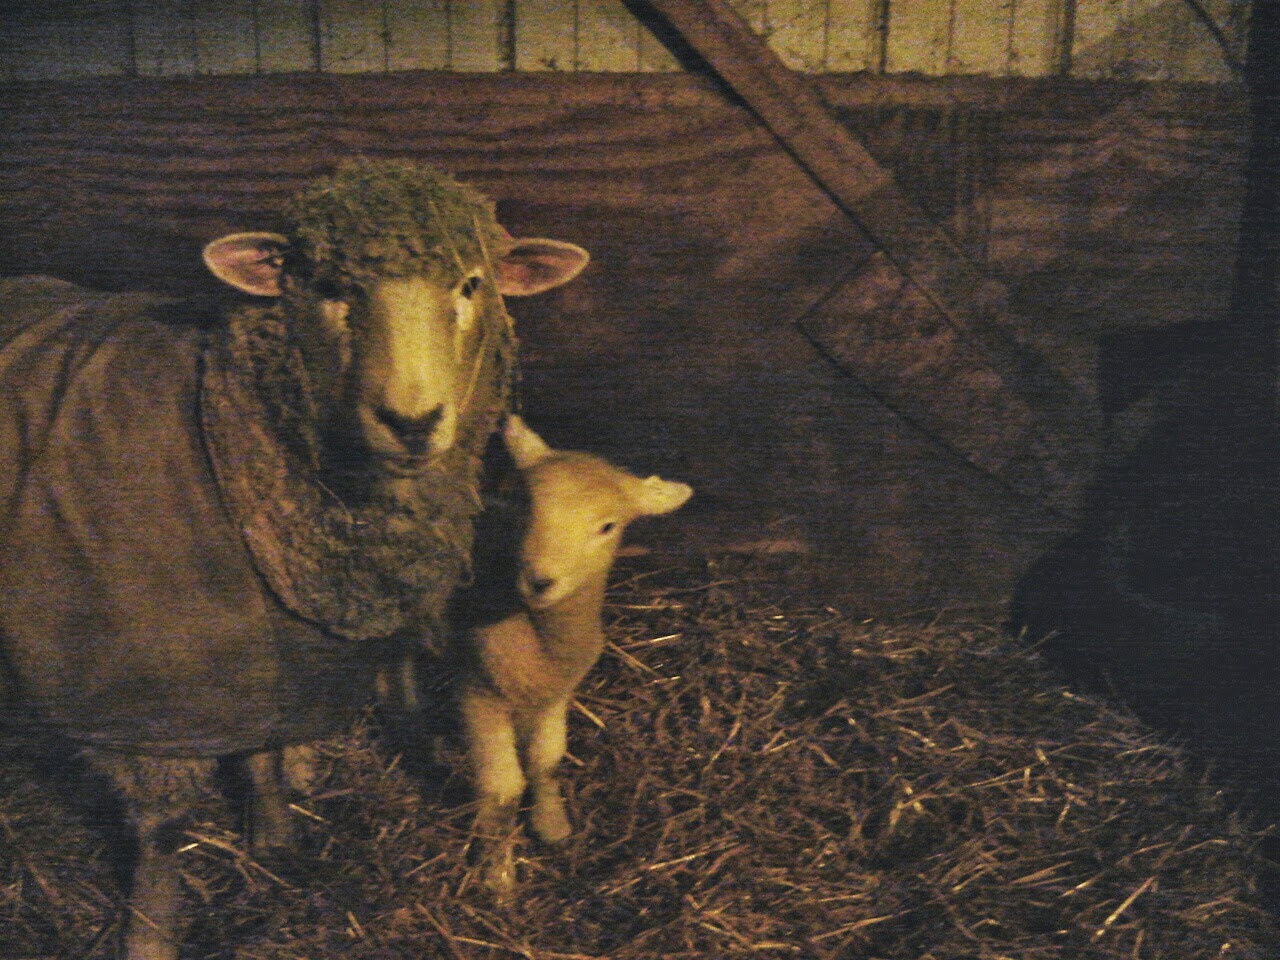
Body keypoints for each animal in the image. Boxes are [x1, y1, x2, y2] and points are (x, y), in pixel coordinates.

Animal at [0, 160, 588, 960]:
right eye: (330, 286)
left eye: (471, 283)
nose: (411, 422)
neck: (228, 432)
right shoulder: (136, 692)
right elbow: (161, 831)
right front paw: (151, 932)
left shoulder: (257, 651)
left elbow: (260, 749)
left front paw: (274, 836)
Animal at [449, 415, 693, 894]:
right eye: (524, 507)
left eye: (607, 526)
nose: (539, 580)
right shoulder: (477, 694)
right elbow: (503, 787)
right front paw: (497, 871)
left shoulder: (556, 694)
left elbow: (547, 763)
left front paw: (552, 825)